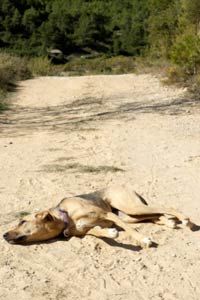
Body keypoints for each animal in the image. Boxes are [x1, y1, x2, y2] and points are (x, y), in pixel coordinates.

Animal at [3, 185, 194, 248]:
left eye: (22, 221)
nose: (4, 235)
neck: (67, 217)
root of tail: (123, 186)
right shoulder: (86, 229)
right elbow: (96, 231)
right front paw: (110, 233)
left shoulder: (106, 214)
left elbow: (129, 231)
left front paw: (143, 239)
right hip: (129, 214)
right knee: (156, 215)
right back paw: (170, 222)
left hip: (129, 207)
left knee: (165, 207)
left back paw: (185, 220)